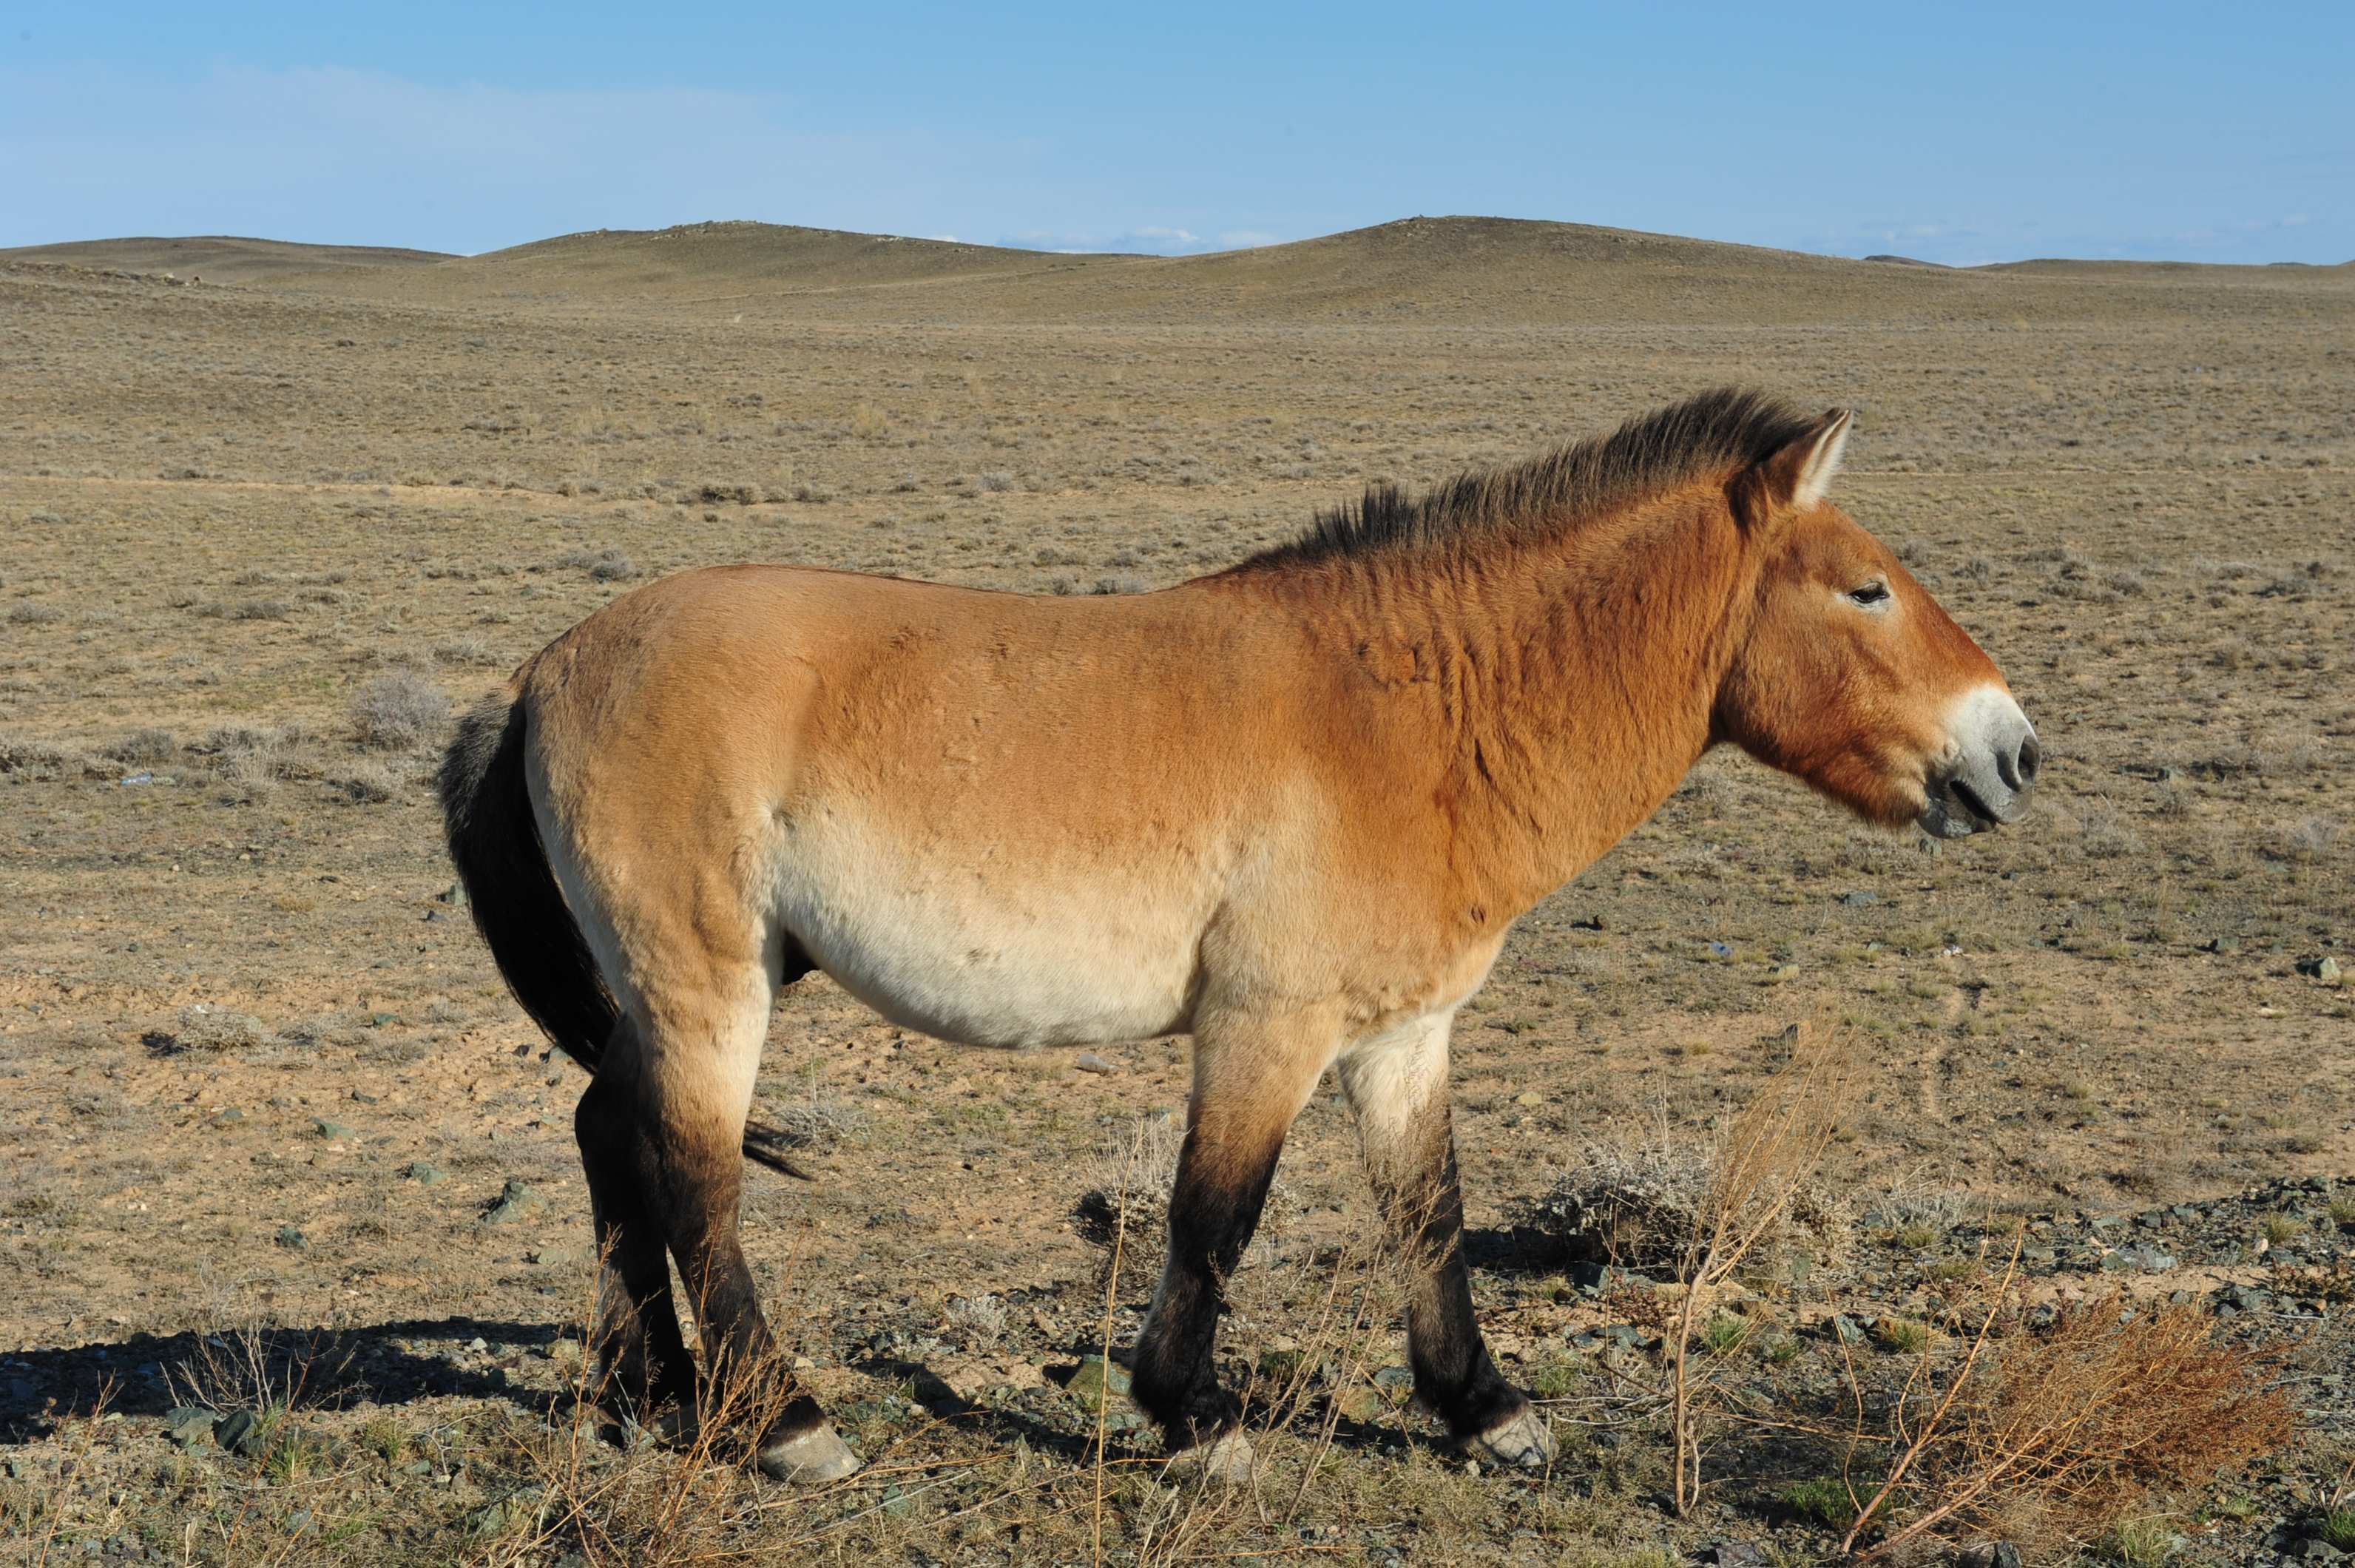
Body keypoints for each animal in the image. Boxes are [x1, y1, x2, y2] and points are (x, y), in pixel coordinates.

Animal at [442, 388, 2044, 1479]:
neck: (1412, 715)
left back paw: (647, 1390)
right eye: (1864, 588)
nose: (2012, 752)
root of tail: (540, 668)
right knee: (688, 1174)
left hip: (674, 988)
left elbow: (1426, 1212)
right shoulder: (1266, 1025)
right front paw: (1192, 1421)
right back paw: (780, 1421)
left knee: (607, 1138)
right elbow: (1214, 1217)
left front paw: (1484, 1411)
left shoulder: (1401, 1035)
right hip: (704, 984)